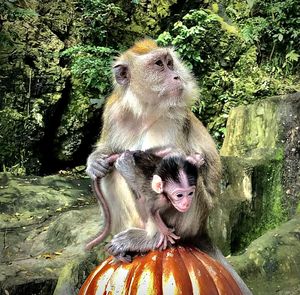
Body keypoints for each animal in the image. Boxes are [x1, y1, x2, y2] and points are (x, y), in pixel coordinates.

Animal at [87, 40, 253, 295]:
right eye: (159, 64)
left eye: (170, 62)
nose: (176, 76)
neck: (145, 110)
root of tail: (202, 228)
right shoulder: (114, 113)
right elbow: (107, 153)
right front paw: (95, 161)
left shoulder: (175, 119)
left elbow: (182, 166)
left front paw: (129, 165)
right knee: (110, 174)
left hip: (192, 218)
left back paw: (151, 238)